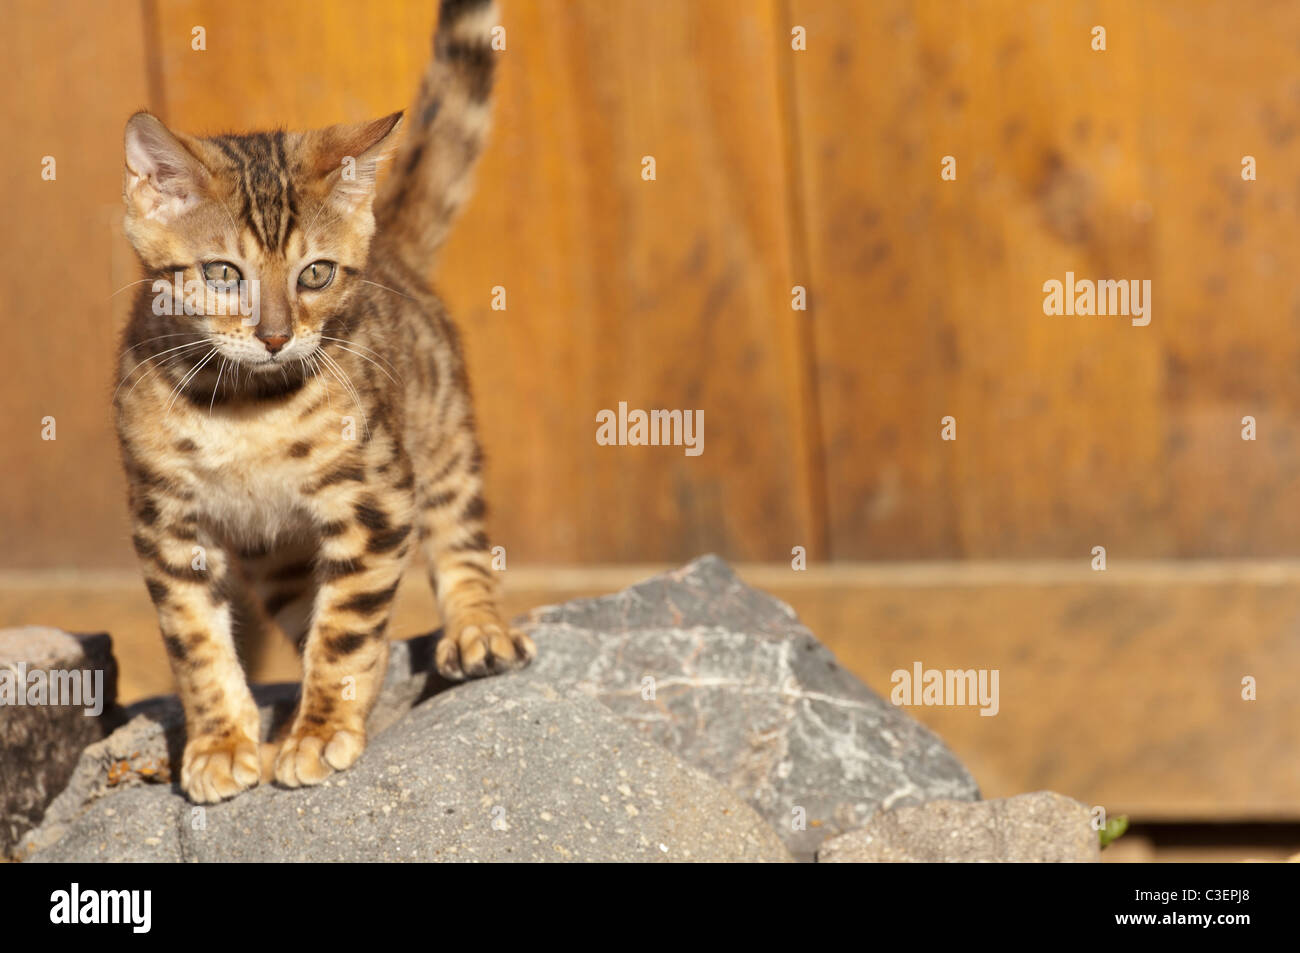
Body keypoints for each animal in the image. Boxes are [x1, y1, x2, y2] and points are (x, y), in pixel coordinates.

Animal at [115, 0, 533, 800]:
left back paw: (478, 630)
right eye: (223, 273)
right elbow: (196, 642)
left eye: (315, 274)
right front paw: (221, 741)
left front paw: (317, 732)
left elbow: (349, 629)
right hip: (274, 553)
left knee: (456, 537)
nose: (277, 336)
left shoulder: (376, 499)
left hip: (440, 436)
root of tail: (392, 247)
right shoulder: (166, 522)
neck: (245, 408)